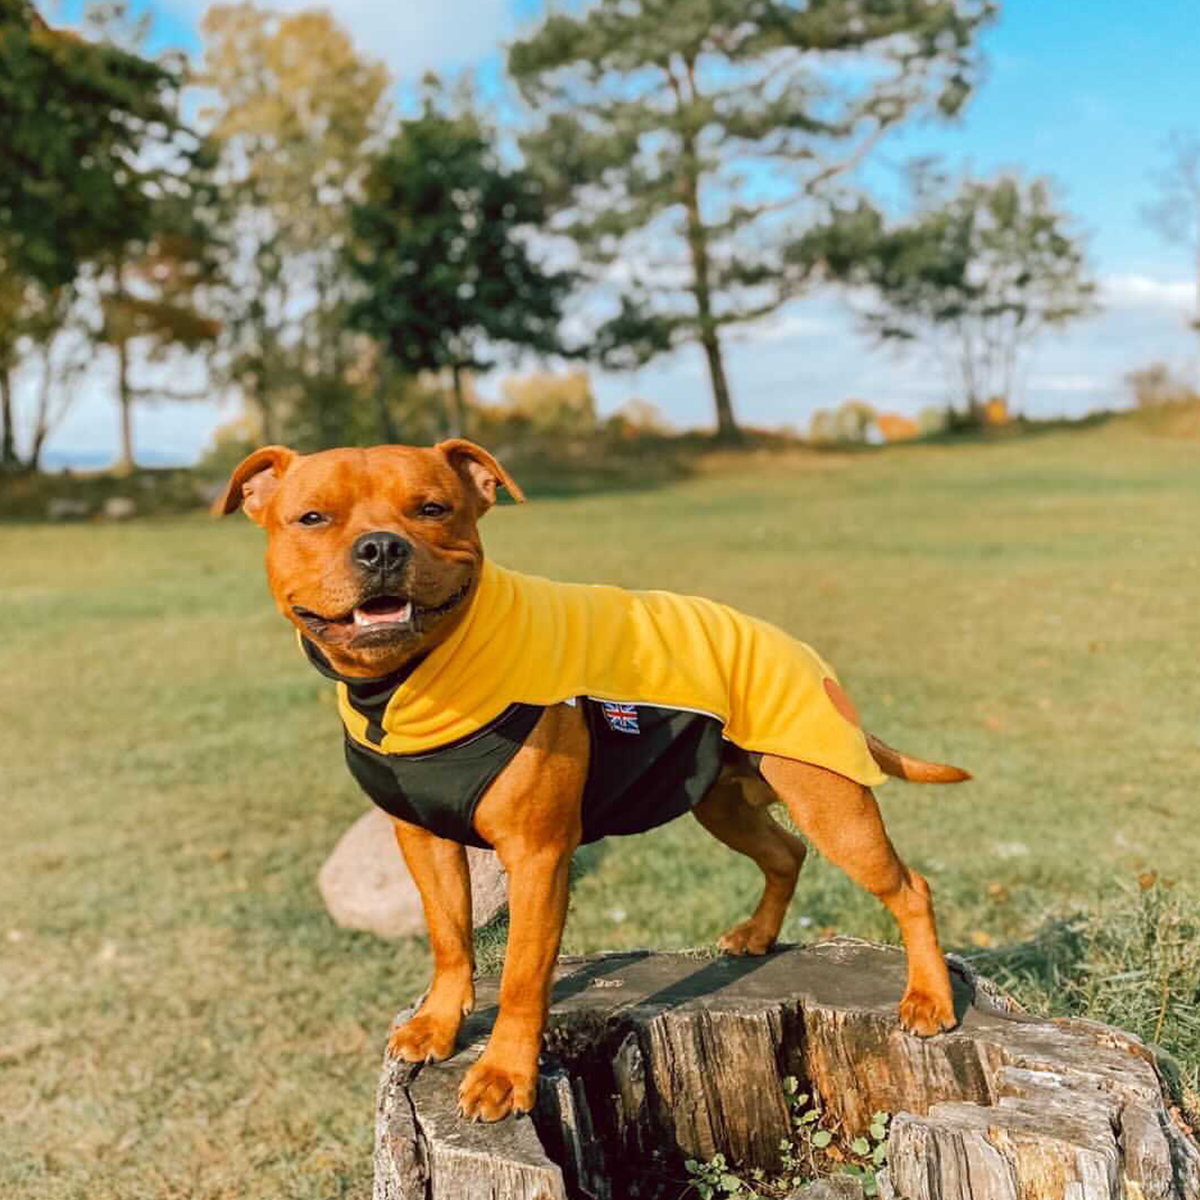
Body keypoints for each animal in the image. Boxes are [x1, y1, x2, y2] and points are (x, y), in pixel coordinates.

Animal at [213, 439, 964, 1123]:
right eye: (313, 518)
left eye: (432, 509)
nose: (380, 549)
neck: (410, 681)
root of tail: (802, 652)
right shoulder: (423, 841)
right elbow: (450, 940)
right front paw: (438, 1023)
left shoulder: (537, 855)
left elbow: (522, 977)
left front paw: (503, 1075)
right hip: (718, 802)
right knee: (786, 852)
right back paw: (755, 936)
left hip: (830, 801)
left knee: (909, 887)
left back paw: (929, 998)